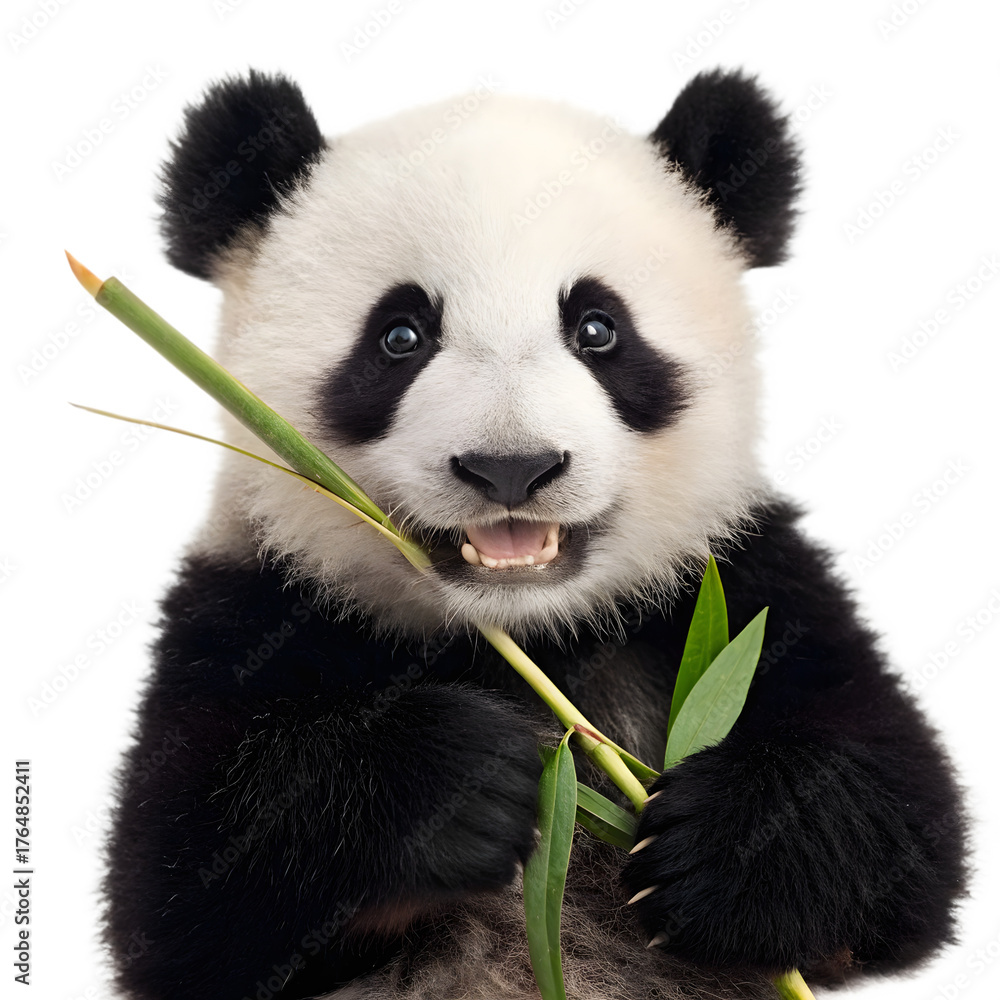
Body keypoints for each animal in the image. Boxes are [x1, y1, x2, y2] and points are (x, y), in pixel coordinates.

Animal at [102, 69, 967, 1000]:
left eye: (597, 328)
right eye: (400, 335)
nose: (510, 468)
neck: (531, 632)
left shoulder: (744, 585)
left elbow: (903, 828)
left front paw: (719, 845)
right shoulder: (253, 603)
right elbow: (185, 883)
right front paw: (462, 781)